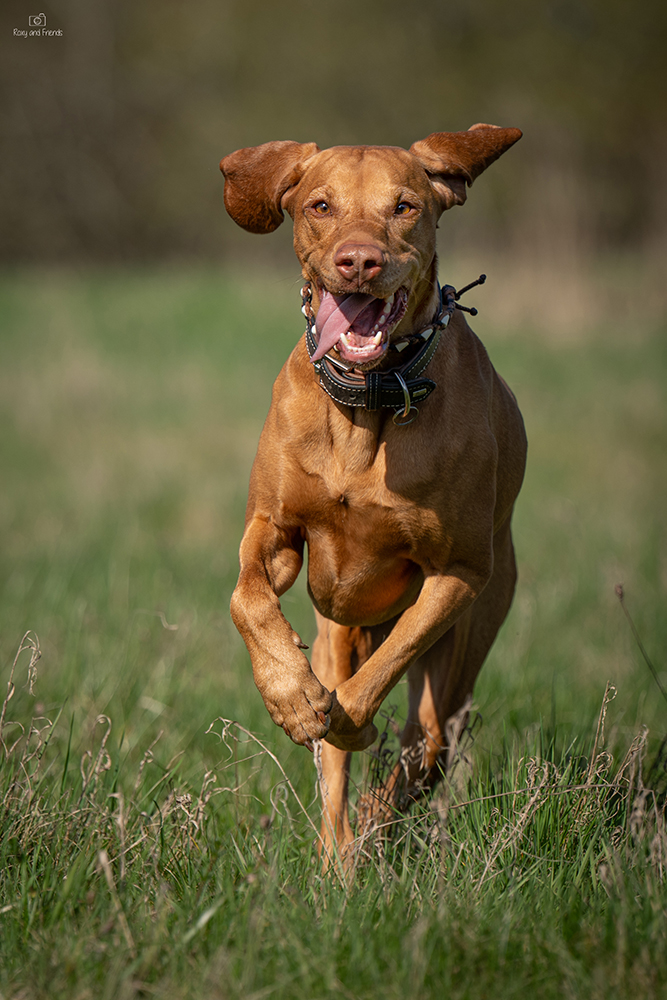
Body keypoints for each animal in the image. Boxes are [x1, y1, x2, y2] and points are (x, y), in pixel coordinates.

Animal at [220, 125, 526, 863]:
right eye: (320, 205)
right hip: (337, 631)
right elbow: (247, 599)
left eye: (404, 207)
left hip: (467, 642)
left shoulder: (458, 575)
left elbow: (381, 676)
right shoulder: (272, 531)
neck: (369, 404)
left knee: (425, 749)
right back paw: (339, 858)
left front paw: (348, 722)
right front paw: (289, 696)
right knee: (340, 779)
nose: (359, 261)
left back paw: (372, 817)